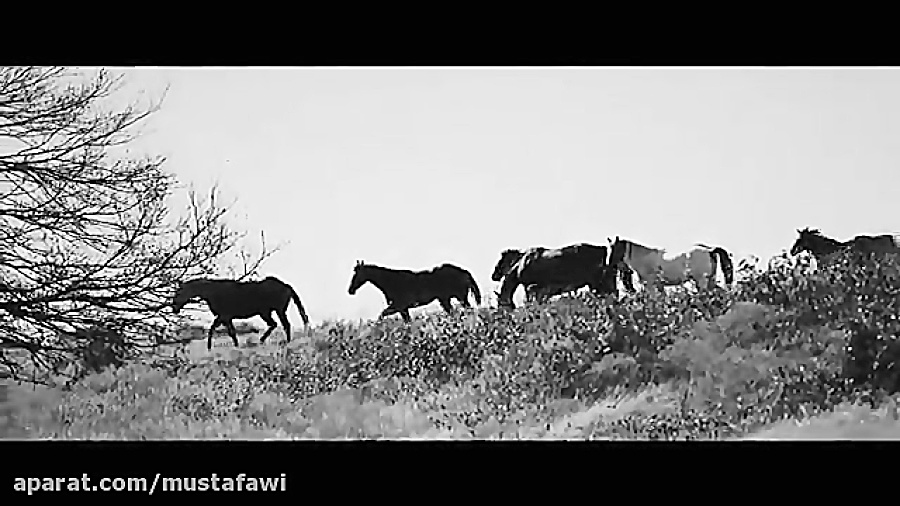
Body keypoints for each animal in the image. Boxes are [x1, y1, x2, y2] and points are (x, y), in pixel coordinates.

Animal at [171, 276, 310, 350]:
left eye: (179, 292)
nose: (174, 308)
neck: (213, 292)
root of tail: (286, 285)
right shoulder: (224, 317)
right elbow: (218, 330)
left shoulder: (224, 316)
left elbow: (225, 331)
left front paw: (212, 347)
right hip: (269, 312)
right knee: (277, 324)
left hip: (274, 311)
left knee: (283, 324)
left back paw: (281, 342)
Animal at [347, 260, 481, 322]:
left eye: (356, 274)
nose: (350, 290)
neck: (391, 281)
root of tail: (464, 272)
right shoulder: (403, 308)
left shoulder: (399, 306)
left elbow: (381, 315)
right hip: (445, 300)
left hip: (460, 298)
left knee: (469, 310)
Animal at [491, 243, 620, 309]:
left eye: (501, 260)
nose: (494, 275)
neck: (521, 264)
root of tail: (603, 249)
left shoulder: (530, 288)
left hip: (597, 283)